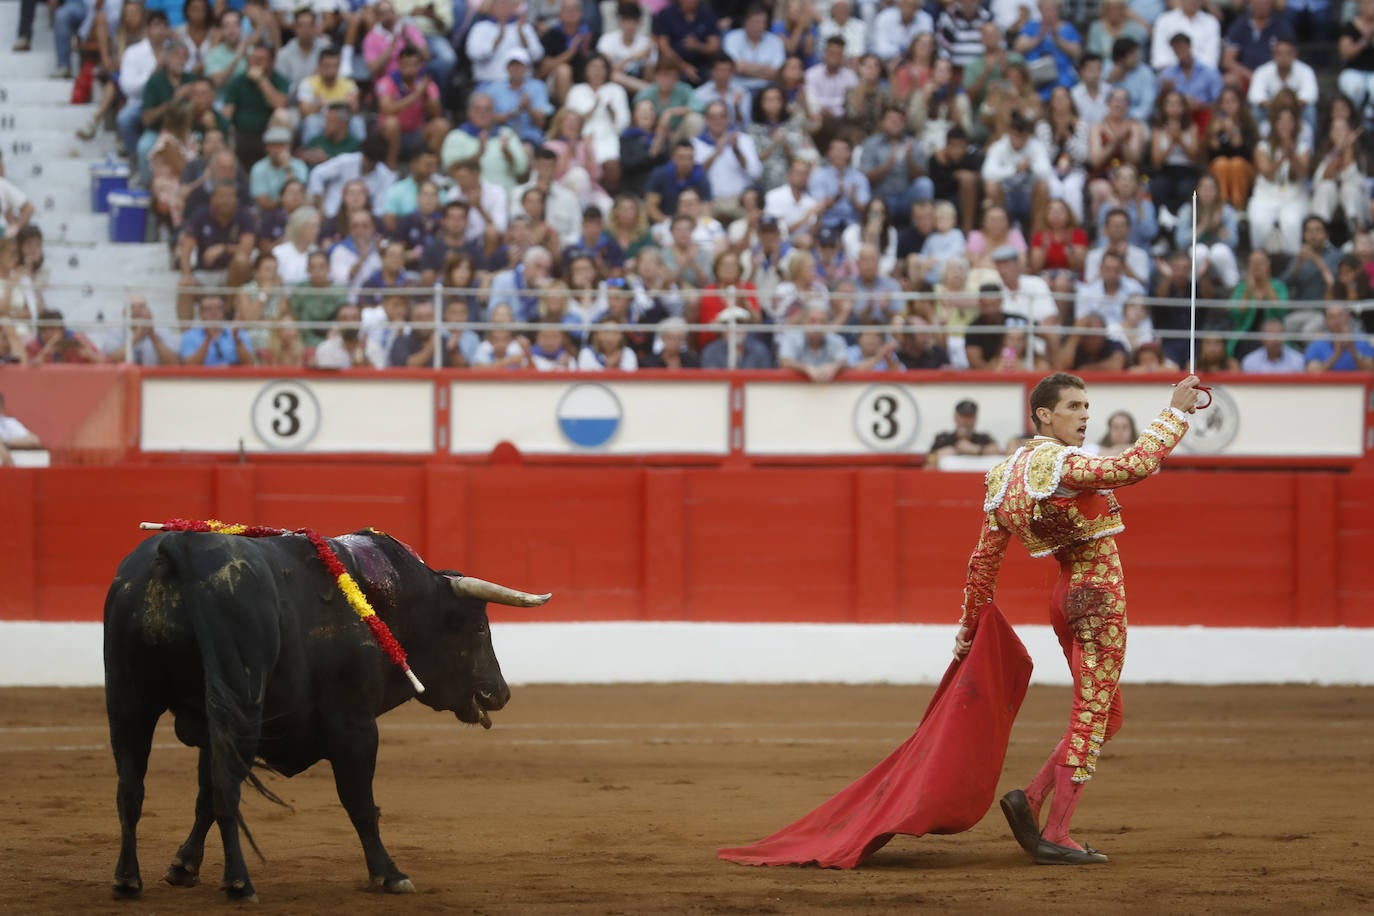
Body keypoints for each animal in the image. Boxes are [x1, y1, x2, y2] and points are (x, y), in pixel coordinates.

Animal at [100, 530, 546, 900]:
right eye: (478, 628)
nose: (500, 692)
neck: (378, 602)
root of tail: (182, 548)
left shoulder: (214, 730)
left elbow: (203, 799)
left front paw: (183, 867)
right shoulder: (356, 727)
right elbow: (359, 802)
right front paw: (389, 874)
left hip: (129, 701)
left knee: (131, 788)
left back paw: (127, 879)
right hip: (236, 710)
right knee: (224, 789)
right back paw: (240, 883)